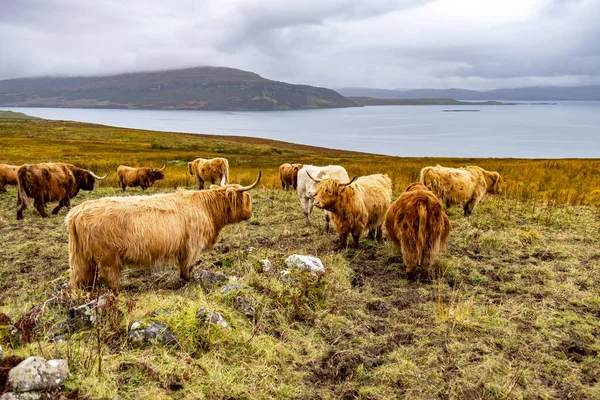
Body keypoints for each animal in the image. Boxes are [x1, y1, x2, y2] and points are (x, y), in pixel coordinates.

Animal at [67, 171, 262, 290]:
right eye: (247, 198)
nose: (250, 213)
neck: (208, 208)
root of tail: (77, 212)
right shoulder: (192, 245)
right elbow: (187, 267)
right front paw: (188, 282)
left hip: (82, 258)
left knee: (82, 278)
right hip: (107, 256)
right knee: (109, 276)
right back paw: (121, 291)